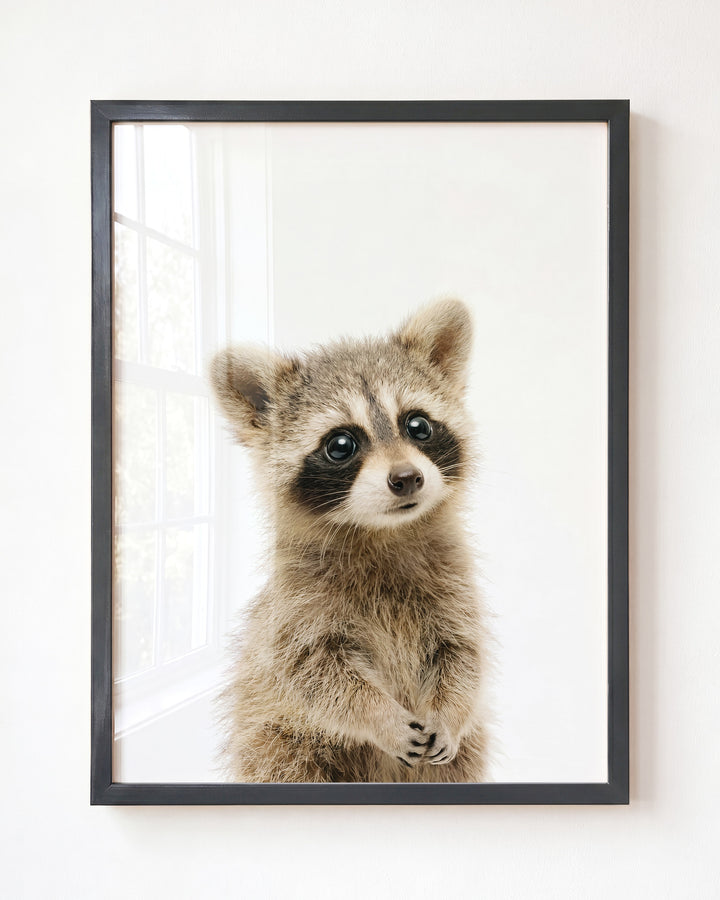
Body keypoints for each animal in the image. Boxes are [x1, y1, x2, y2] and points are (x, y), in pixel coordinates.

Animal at [209, 299, 491, 782]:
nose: (407, 478)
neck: (383, 532)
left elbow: (462, 655)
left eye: (418, 425)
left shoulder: (454, 586)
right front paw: (380, 717)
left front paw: (450, 711)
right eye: (341, 444)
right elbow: (316, 674)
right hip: (279, 743)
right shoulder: (296, 608)